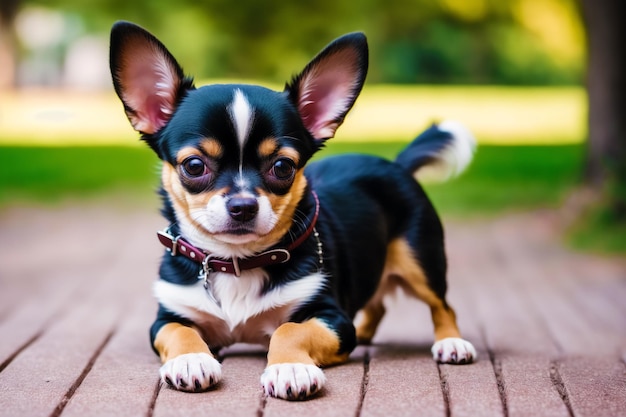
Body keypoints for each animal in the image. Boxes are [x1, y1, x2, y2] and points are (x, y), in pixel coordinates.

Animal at [109, 21, 476, 398]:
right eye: (194, 166)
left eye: (283, 167)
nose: (243, 206)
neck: (238, 263)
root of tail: (397, 164)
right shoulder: (167, 317)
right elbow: (180, 331)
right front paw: (191, 360)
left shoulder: (331, 317)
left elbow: (291, 329)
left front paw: (291, 367)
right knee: (379, 303)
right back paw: (367, 334)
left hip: (421, 259)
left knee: (442, 304)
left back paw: (451, 343)